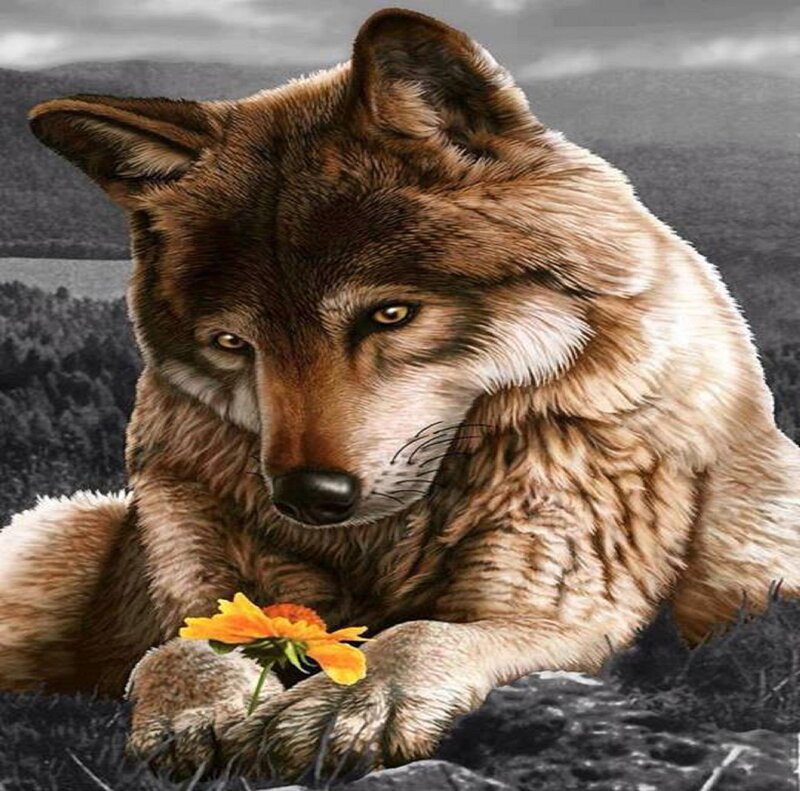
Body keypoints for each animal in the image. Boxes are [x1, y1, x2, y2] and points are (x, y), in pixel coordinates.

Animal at [2, 5, 798, 780]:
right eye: (231, 343)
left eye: (390, 314)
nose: (307, 497)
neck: (381, 545)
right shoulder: (199, 585)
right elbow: (181, 645)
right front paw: (196, 709)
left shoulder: (560, 611)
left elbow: (419, 633)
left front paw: (348, 704)